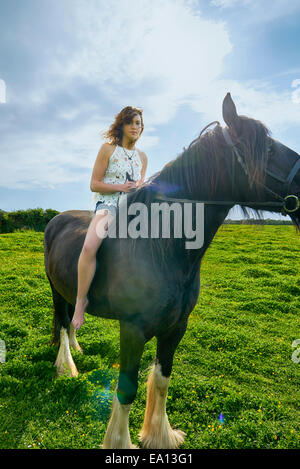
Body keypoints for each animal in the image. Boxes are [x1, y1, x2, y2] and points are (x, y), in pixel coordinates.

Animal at [43, 93, 298, 448]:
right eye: (270, 150)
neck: (163, 249)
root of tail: (56, 220)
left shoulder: (176, 328)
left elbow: (162, 379)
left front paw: (158, 435)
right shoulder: (132, 330)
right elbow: (126, 389)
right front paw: (120, 442)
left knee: (70, 321)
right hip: (56, 289)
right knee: (64, 322)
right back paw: (67, 367)